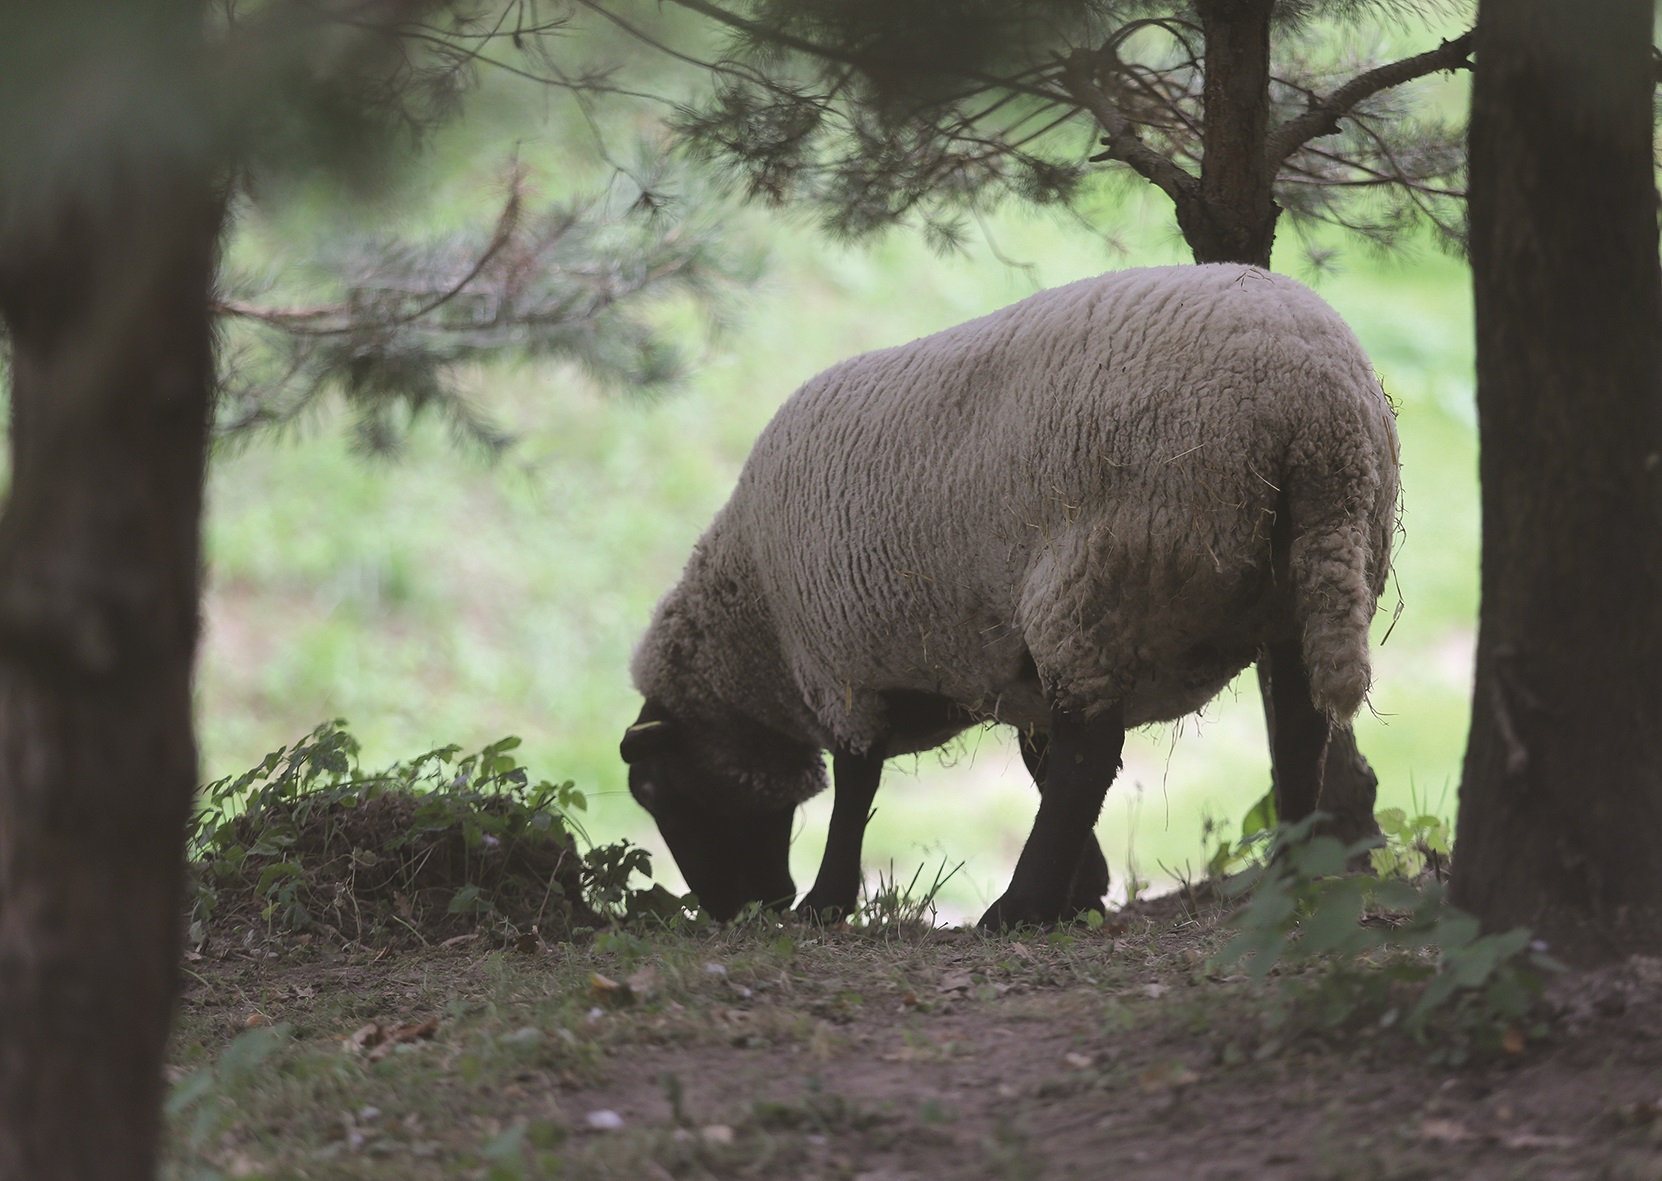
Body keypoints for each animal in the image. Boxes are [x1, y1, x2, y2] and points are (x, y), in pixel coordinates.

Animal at [618, 264, 1396, 930]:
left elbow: (857, 785)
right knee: (1299, 734)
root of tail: (1317, 411)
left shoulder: (841, 665)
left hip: (1100, 578)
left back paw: (1018, 908)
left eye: (653, 792)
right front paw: (1087, 888)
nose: (741, 908)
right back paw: (1287, 874)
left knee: (1093, 755)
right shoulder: (997, 668)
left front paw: (825, 903)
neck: (758, 632)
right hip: (1305, 583)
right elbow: (1033, 759)